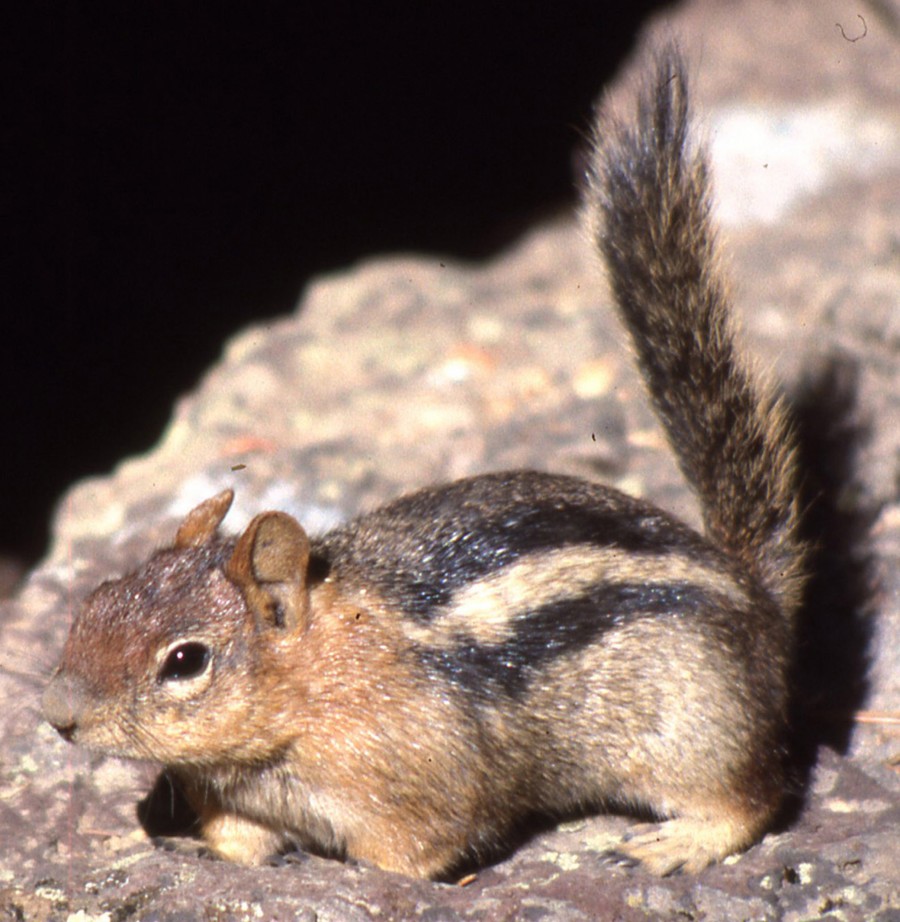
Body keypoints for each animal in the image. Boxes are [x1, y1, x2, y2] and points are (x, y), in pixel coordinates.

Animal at [42, 48, 806, 880]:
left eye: (185, 661)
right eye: (95, 601)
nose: (56, 714)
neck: (313, 682)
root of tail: (754, 593)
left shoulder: (416, 796)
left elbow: (407, 858)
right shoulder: (233, 795)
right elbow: (237, 839)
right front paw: (192, 851)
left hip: (699, 730)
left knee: (750, 798)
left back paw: (675, 843)